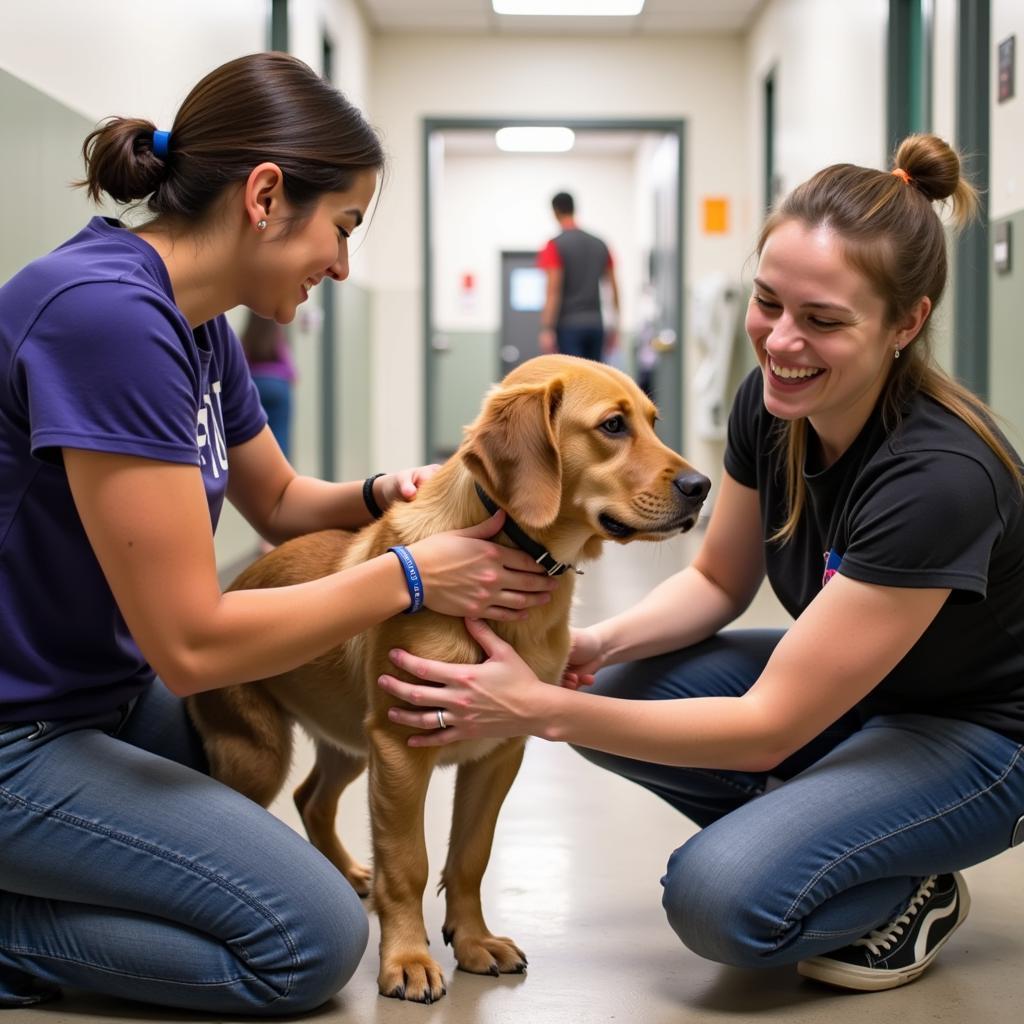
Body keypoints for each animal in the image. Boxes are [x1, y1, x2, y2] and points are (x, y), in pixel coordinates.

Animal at [186, 356, 712, 1003]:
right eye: (613, 426)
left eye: (653, 421)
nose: (702, 486)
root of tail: (232, 583)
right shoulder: (399, 749)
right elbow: (408, 863)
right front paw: (407, 958)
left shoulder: (497, 750)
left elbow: (469, 856)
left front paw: (473, 941)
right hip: (260, 755)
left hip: (350, 740)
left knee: (312, 798)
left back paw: (348, 871)